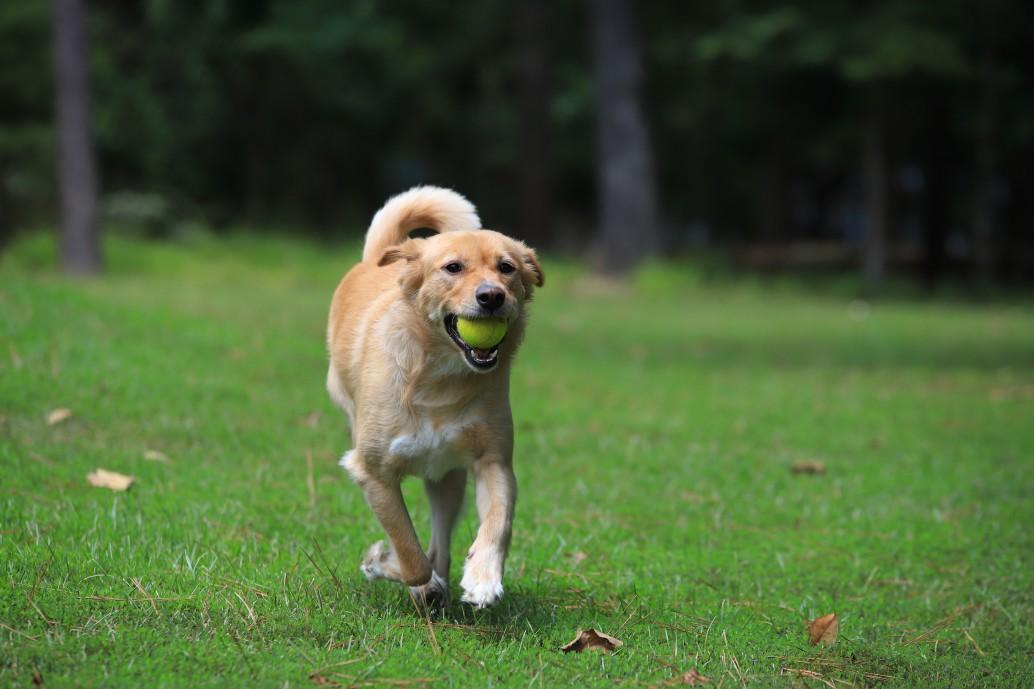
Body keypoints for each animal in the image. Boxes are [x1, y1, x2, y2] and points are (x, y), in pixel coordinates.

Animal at [326, 184, 545, 608]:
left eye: (507, 268)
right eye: (453, 267)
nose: (492, 296)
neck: (439, 377)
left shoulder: (493, 462)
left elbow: (498, 523)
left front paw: (483, 577)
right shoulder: (372, 472)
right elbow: (408, 551)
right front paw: (392, 568)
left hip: (447, 479)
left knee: (440, 545)